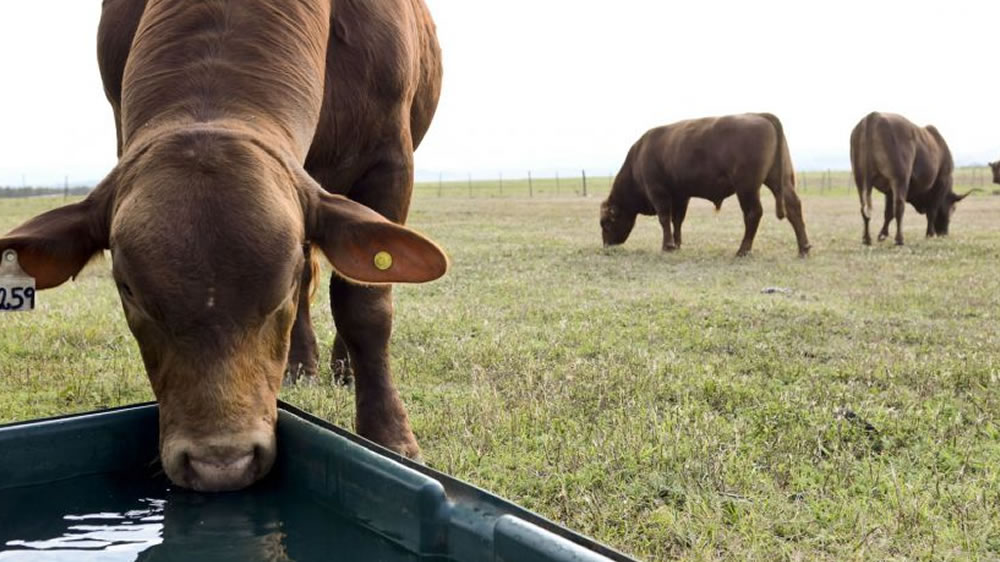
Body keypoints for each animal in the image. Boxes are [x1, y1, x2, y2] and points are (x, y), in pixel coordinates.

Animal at [0, 0, 446, 490]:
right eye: (128, 290)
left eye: (281, 287)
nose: (220, 464)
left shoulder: (390, 160)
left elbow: (365, 306)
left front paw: (390, 436)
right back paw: (302, 366)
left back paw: (343, 369)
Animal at [596, 113, 808, 256]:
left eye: (605, 223)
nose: (606, 245)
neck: (638, 158)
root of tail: (759, 115)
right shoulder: (681, 196)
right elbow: (677, 220)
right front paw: (677, 244)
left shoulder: (658, 193)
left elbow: (664, 218)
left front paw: (667, 246)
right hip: (781, 181)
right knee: (794, 207)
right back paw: (804, 248)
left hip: (746, 187)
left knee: (753, 213)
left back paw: (742, 250)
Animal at [848, 112, 972, 245]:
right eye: (953, 208)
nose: (944, 233)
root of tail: (874, 116)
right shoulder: (940, 183)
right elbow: (932, 211)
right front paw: (929, 234)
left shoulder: (889, 192)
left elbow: (888, 213)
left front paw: (882, 235)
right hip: (899, 179)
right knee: (899, 207)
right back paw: (899, 239)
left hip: (861, 180)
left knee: (864, 208)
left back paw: (866, 238)